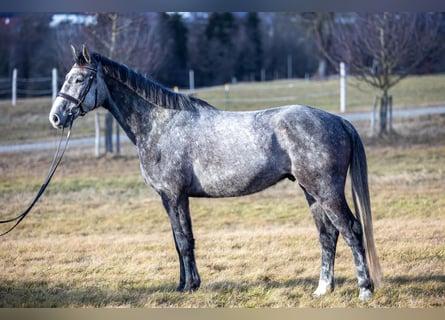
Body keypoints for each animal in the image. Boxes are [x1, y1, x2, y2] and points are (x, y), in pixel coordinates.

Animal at [49, 45, 382, 302]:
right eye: (66, 78)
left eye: (79, 79)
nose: (56, 117)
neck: (159, 124)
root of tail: (338, 120)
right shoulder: (168, 198)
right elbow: (177, 240)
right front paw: (183, 284)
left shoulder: (175, 195)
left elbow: (185, 240)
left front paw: (190, 286)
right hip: (311, 192)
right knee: (328, 235)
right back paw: (323, 289)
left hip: (327, 192)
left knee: (351, 230)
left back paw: (365, 290)